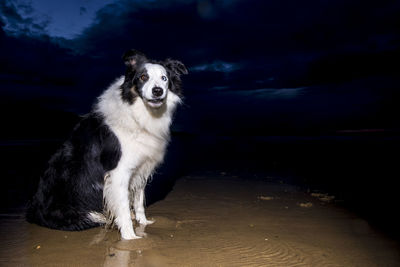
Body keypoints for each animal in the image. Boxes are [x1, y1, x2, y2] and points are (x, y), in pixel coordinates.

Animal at [25, 50, 188, 241]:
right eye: (143, 77)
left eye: (164, 78)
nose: (158, 91)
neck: (138, 114)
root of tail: (33, 211)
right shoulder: (119, 172)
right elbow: (123, 206)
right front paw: (130, 237)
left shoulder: (140, 169)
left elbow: (139, 200)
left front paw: (143, 223)